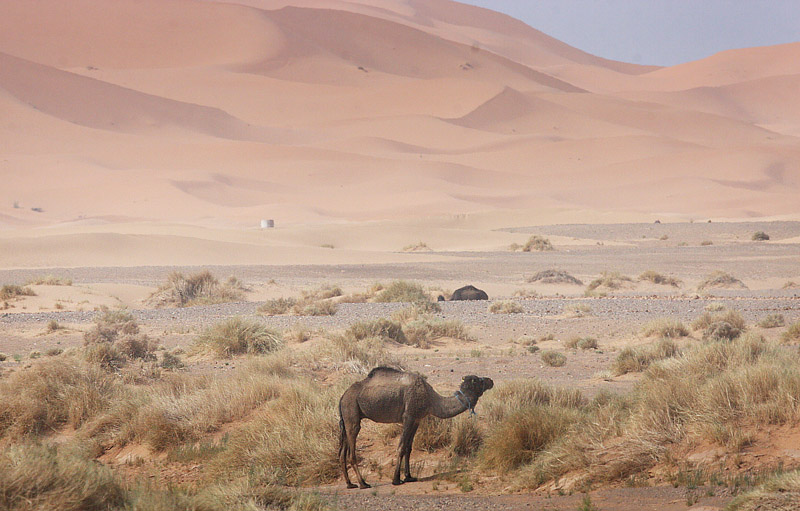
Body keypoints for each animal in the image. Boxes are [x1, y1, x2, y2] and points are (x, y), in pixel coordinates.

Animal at [338, 368, 494, 488]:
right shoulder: (409, 416)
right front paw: (396, 479)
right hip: (352, 412)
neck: (431, 399)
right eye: (478, 381)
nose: (490, 380)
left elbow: (409, 448)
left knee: (342, 452)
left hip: (346, 419)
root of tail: (343, 396)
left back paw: (350, 484)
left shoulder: (417, 420)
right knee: (352, 451)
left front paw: (409, 477)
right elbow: (401, 447)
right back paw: (363, 483)